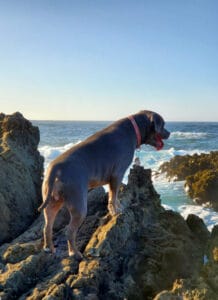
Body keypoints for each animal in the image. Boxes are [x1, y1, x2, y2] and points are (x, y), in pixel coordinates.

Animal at [38, 109, 170, 258]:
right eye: (163, 124)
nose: (169, 133)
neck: (133, 129)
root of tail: (54, 169)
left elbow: (114, 197)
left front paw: (118, 208)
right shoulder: (117, 174)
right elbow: (113, 195)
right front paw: (115, 211)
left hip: (52, 202)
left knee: (47, 227)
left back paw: (49, 248)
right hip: (78, 204)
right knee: (69, 231)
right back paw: (75, 253)